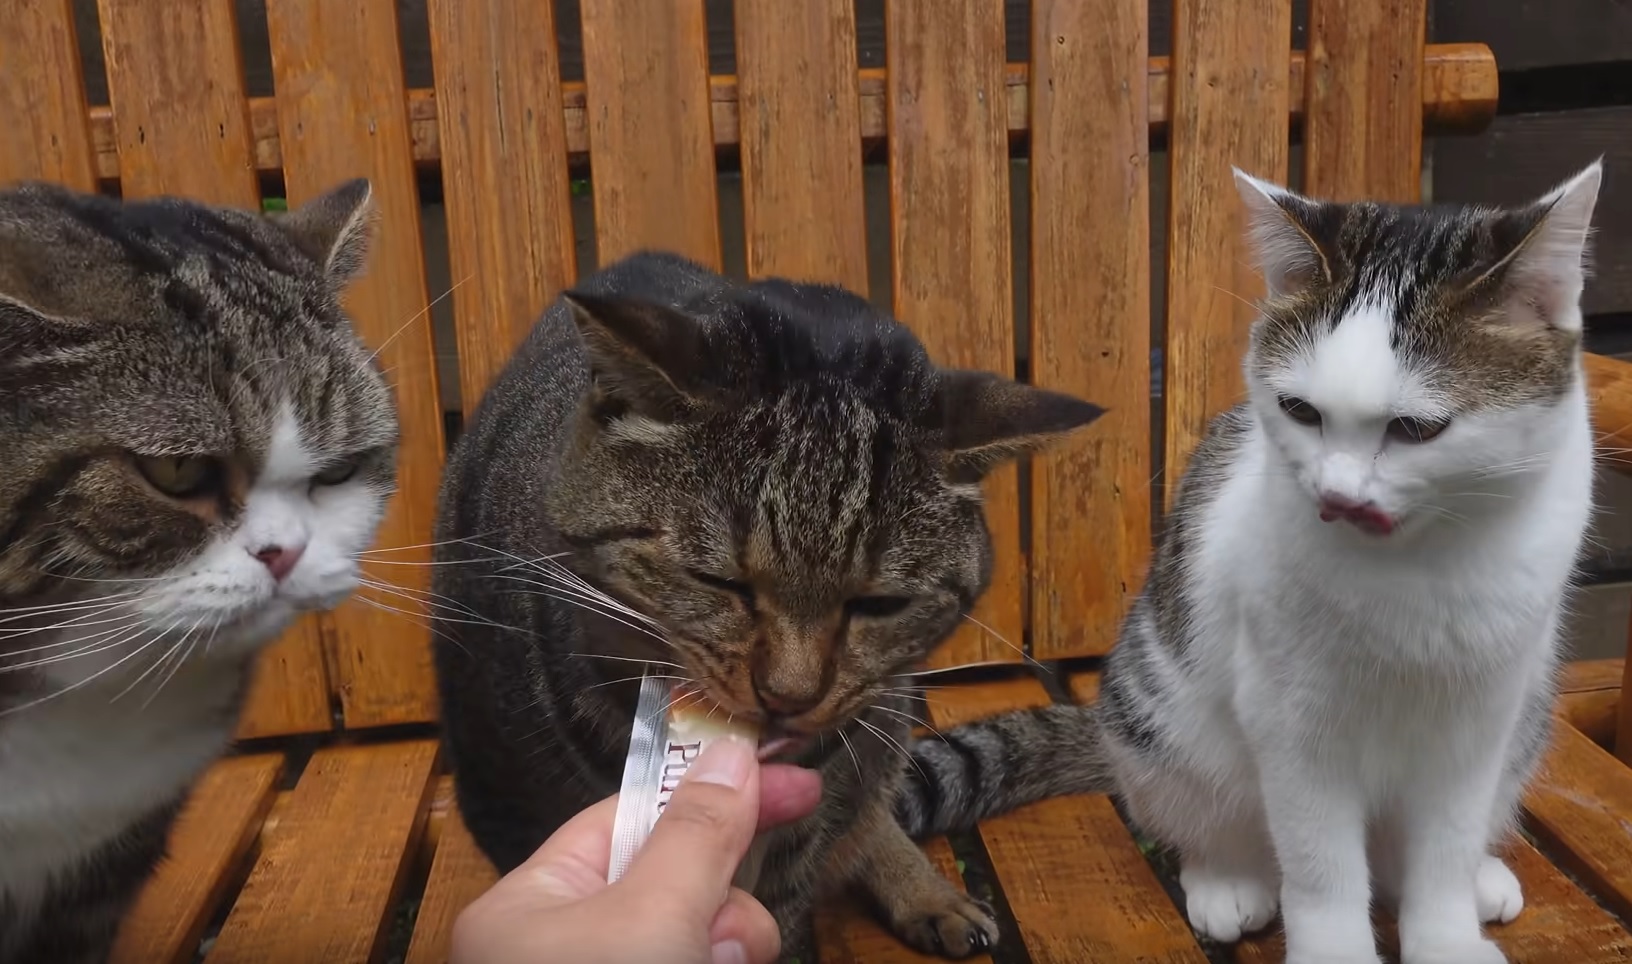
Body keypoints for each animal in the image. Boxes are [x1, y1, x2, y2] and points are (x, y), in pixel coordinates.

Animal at [1096, 160, 1605, 964]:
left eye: (1416, 429)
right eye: (1300, 411)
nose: (1336, 495)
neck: (1421, 569)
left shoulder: (1479, 720)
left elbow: (1445, 847)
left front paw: (1446, 936)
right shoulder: (1293, 722)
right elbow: (1319, 865)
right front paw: (1333, 945)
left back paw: (1477, 880)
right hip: (1159, 723)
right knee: (1204, 817)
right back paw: (1225, 876)